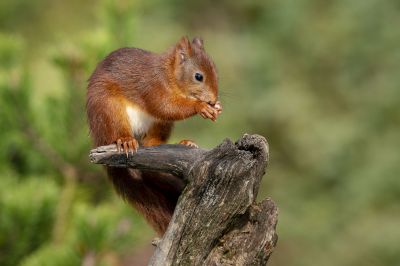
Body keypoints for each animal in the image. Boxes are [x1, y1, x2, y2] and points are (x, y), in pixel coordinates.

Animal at [86, 36, 222, 234]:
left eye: (216, 72)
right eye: (199, 76)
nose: (212, 99)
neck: (170, 74)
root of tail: (97, 136)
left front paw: (216, 107)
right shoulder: (152, 85)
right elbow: (165, 106)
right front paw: (201, 106)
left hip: (160, 124)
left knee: (151, 141)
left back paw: (183, 143)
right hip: (108, 110)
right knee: (116, 132)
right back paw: (125, 141)